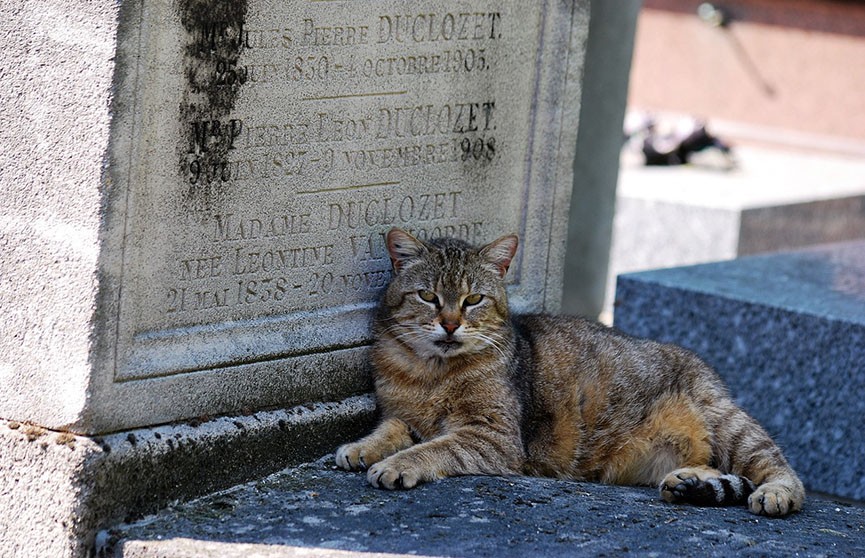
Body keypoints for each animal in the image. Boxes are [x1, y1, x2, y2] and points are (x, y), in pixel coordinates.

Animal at [336, 230, 804, 520]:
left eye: (473, 300)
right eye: (428, 296)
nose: (450, 325)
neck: (431, 374)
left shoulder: (493, 436)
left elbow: (434, 448)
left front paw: (396, 465)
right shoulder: (404, 414)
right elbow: (390, 429)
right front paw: (361, 448)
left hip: (730, 425)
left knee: (781, 471)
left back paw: (774, 494)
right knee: (707, 466)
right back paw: (690, 484)